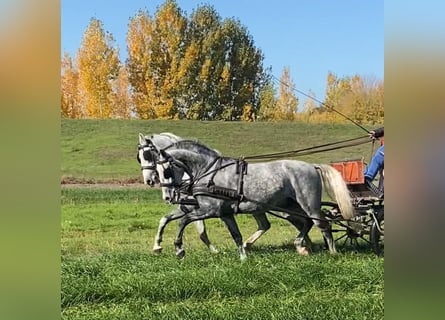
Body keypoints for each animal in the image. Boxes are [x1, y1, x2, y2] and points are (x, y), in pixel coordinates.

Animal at [155, 140, 354, 260]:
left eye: (166, 171)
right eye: (156, 171)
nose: (168, 197)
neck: (208, 171)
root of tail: (312, 166)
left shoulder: (210, 210)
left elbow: (183, 221)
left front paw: (179, 249)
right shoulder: (224, 213)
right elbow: (236, 234)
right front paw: (243, 256)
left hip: (308, 204)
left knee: (322, 224)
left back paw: (332, 252)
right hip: (291, 206)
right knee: (306, 223)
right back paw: (301, 246)